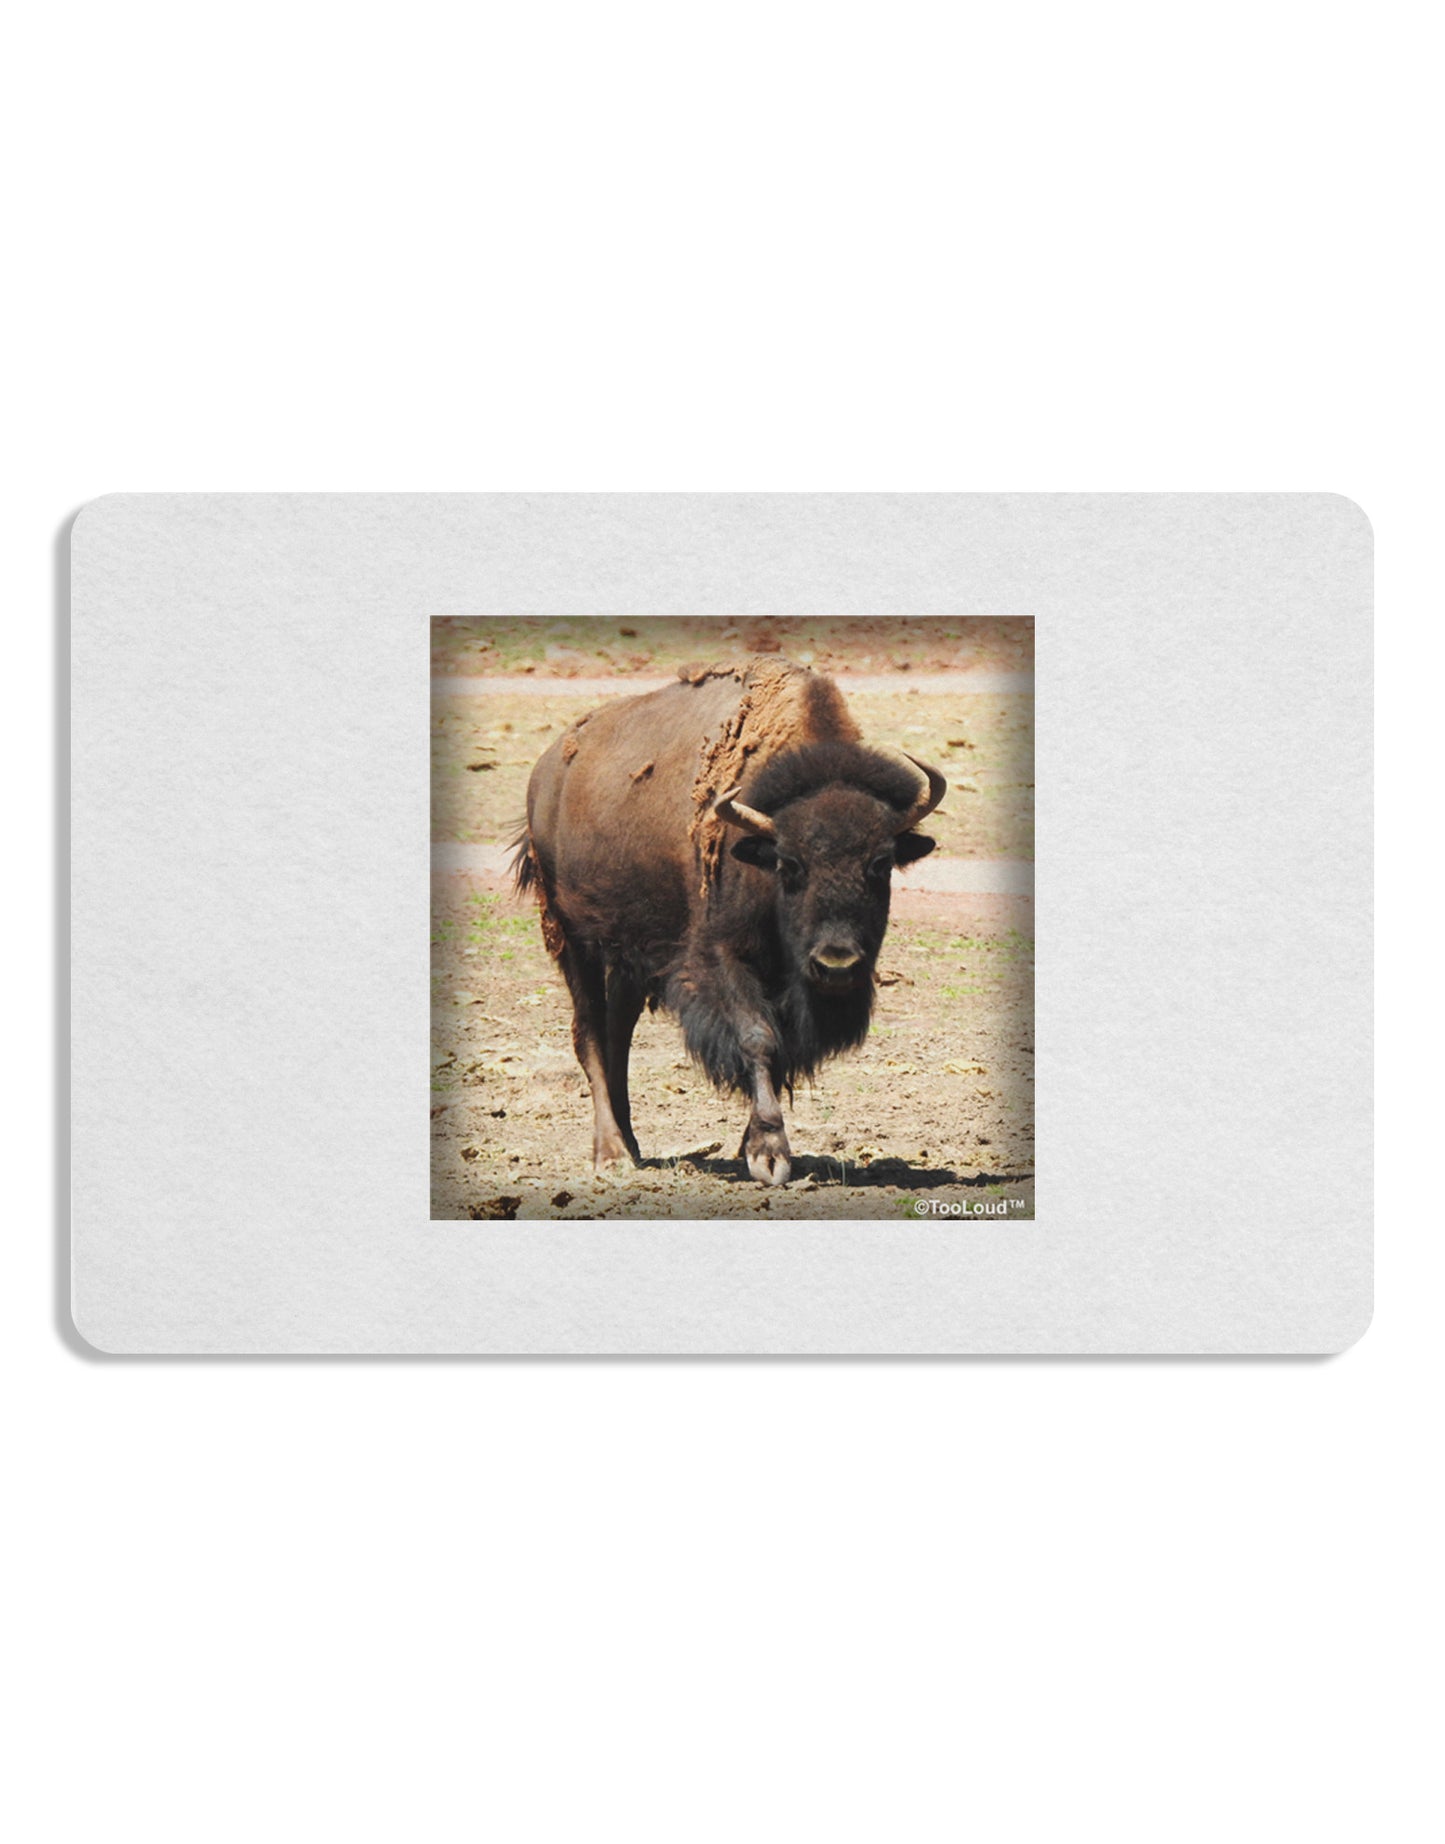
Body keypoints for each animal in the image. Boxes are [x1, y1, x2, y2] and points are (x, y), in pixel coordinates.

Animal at [511, 656, 945, 1185]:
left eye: (880, 863)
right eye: (789, 863)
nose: (837, 964)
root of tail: (546, 773)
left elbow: (780, 1050)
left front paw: (751, 1143)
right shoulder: (721, 957)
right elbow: (757, 1038)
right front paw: (769, 1154)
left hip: (630, 952)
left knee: (619, 1030)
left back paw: (632, 1144)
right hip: (571, 937)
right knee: (589, 1031)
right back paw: (610, 1152)